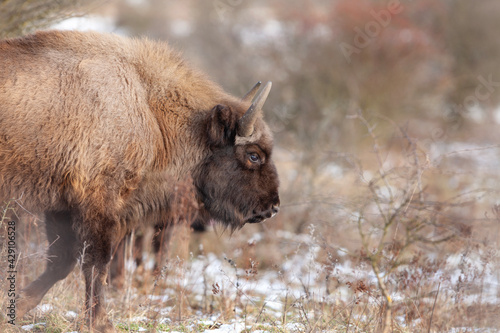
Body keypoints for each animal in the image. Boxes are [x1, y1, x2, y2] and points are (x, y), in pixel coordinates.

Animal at [0, 29, 280, 330]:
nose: (273, 207)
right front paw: (102, 323)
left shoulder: (63, 206)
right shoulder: (99, 205)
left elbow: (62, 262)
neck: (148, 110)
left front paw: (15, 305)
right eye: (253, 155)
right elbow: (95, 264)